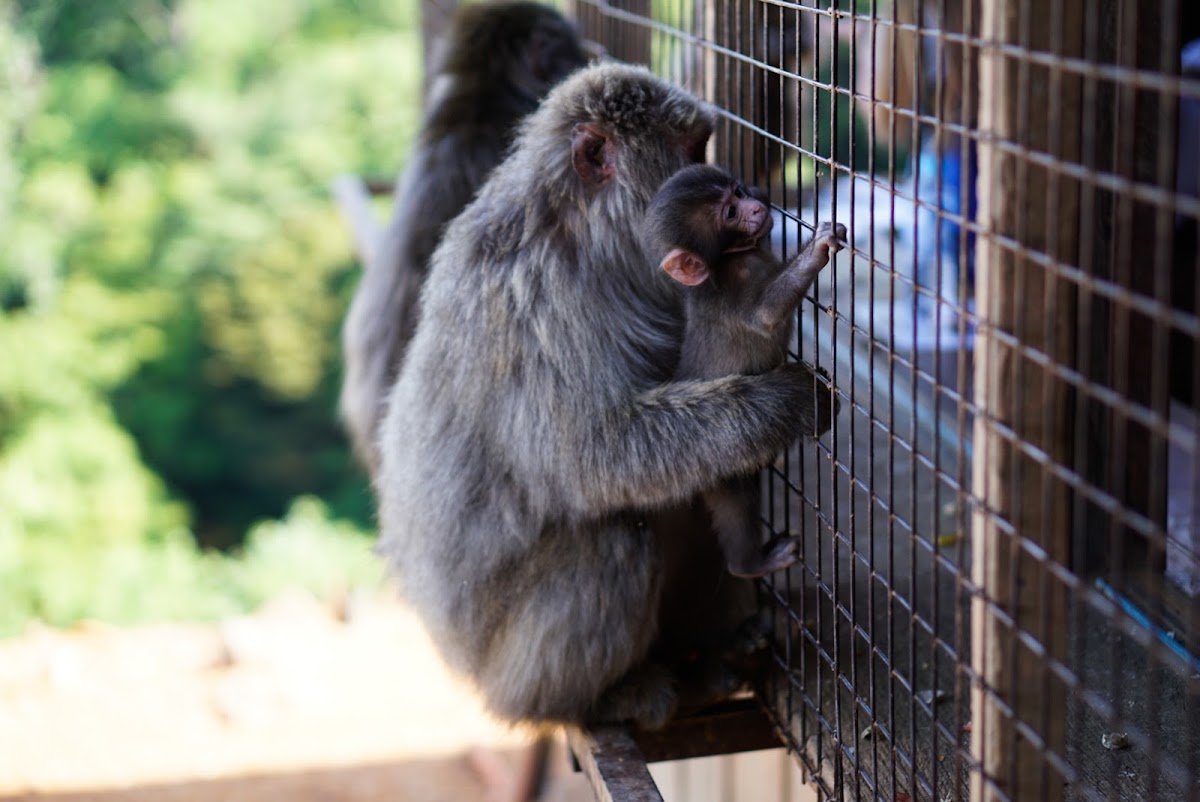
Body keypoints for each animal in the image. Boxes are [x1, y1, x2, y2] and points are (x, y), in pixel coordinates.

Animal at [644, 164, 846, 579]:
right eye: (730, 213)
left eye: (737, 192)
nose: (754, 206)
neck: (730, 260)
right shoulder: (735, 283)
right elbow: (767, 314)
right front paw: (817, 249)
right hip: (720, 469)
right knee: (736, 507)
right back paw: (749, 564)